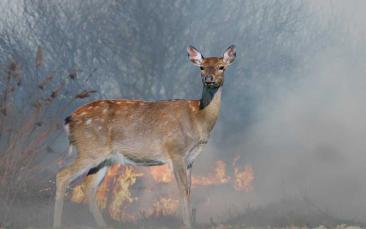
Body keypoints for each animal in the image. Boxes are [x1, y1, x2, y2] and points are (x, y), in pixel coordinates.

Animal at [53, 44, 237, 227]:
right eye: (201, 67)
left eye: (221, 67)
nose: (209, 78)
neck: (198, 118)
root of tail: (68, 120)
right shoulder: (176, 152)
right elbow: (183, 190)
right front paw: (187, 224)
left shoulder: (190, 159)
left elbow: (189, 190)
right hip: (90, 149)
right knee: (62, 175)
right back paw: (57, 223)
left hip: (105, 158)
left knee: (89, 185)